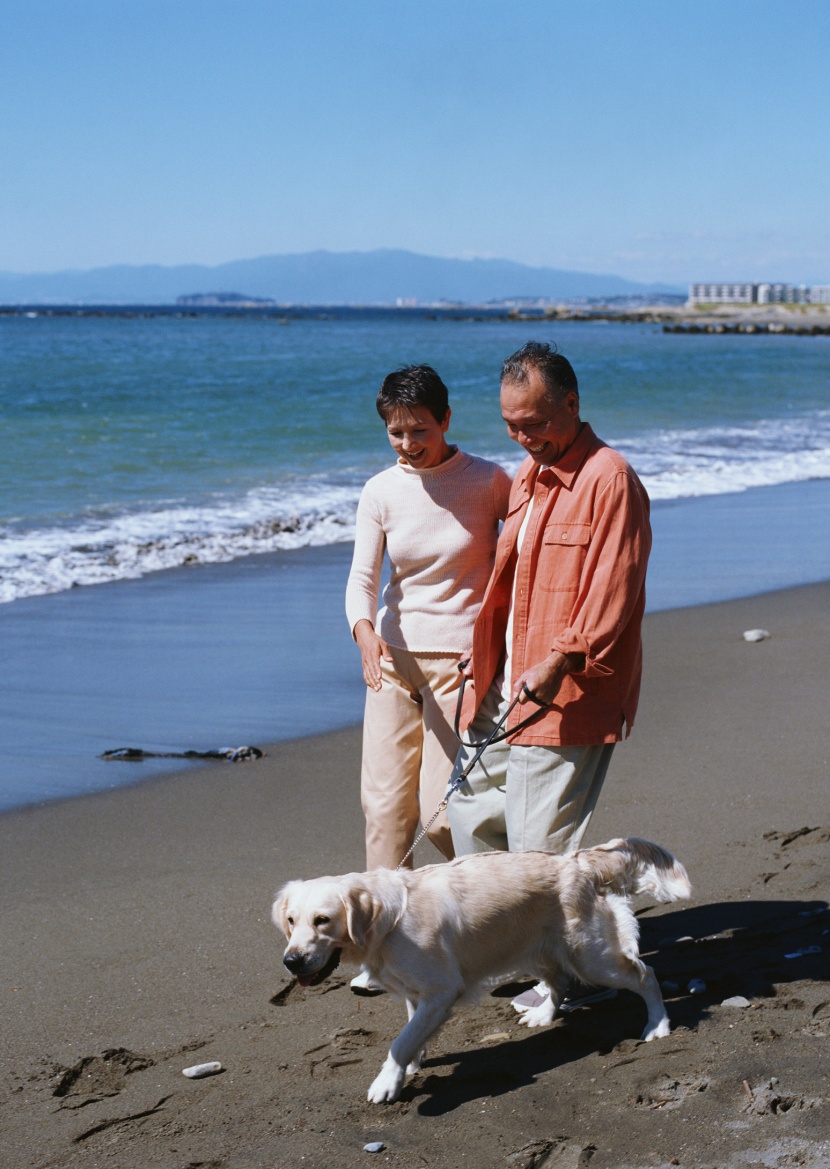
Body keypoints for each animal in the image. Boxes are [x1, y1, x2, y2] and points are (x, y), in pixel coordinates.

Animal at [271, 837, 687, 1098]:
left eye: (322, 920)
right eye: (291, 920)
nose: (291, 961)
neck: (388, 923)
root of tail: (576, 861)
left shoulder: (441, 990)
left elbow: (400, 1040)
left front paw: (387, 1081)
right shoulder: (417, 992)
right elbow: (411, 1033)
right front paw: (410, 1066)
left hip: (590, 956)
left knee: (645, 975)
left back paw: (657, 1025)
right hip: (536, 950)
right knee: (559, 982)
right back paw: (544, 1015)